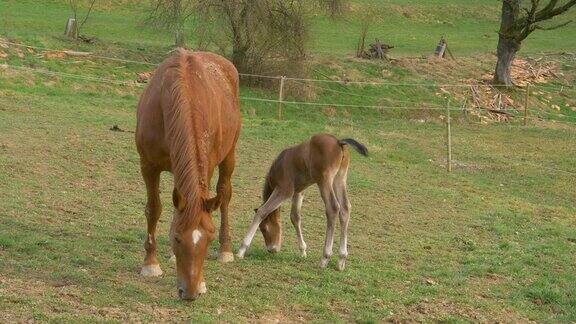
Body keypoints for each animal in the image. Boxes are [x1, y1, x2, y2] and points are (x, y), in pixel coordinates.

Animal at [136, 49, 241, 300]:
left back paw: (226, 250)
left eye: (209, 237)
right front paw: (150, 264)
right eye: (176, 237)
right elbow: (153, 210)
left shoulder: (208, 165)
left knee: (224, 195)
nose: (190, 293)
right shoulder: (148, 166)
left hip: (229, 155)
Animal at [236, 133, 366, 270]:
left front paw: (241, 250)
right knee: (345, 208)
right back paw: (341, 259)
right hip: (340, 178)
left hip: (324, 180)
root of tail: (339, 142)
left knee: (333, 207)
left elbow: (262, 211)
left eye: (264, 228)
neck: (280, 164)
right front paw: (303, 251)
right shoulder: (299, 191)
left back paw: (325, 258)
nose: (271, 249)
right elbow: (295, 217)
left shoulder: (284, 190)